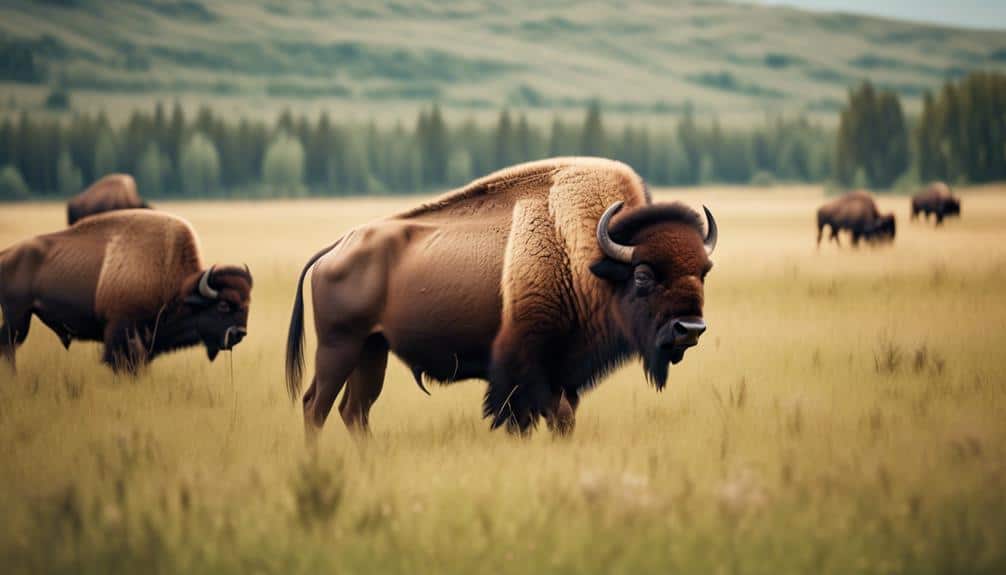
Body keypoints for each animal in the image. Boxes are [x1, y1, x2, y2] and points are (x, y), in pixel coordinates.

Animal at [1, 210, 252, 372]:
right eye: (223, 305)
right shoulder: (119, 332)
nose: (239, 333)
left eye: (247, 305)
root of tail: (6, 254)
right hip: (18, 316)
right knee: (8, 346)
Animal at [286, 158, 717, 438]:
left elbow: (564, 418)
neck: (584, 255)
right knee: (315, 406)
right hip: (339, 346)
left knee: (354, 411)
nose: (690, 329)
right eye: (643, 275)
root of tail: (336, 248)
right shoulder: (528, 367)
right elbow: (542, 416)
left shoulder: (566, 371)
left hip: (372, 350)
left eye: (704, 271)